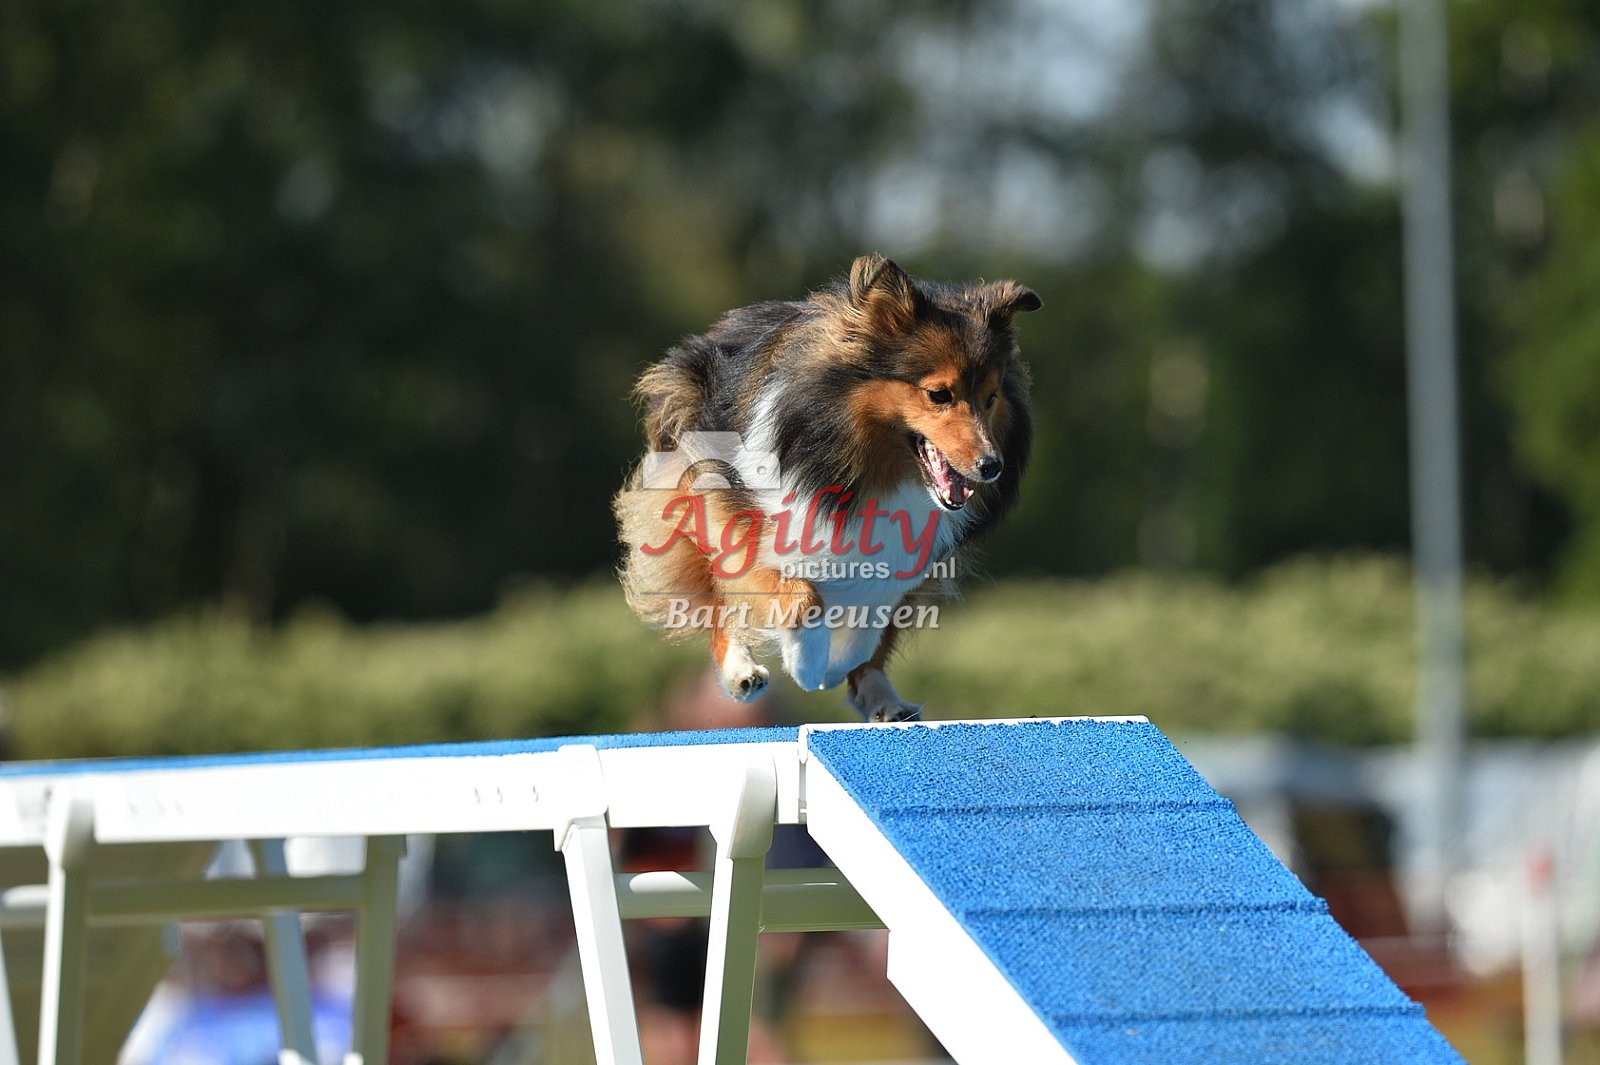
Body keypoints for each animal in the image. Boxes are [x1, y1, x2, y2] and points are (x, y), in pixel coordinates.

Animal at [614, 254, 1040, 721]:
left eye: (991, 397)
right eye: (939, 394)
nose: (991, 466)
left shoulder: (907, 556)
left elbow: (873, 619)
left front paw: (840, 662)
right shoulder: (742, 512)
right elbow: (798, 597)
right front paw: (806, 661)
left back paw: (883, 699)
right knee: (722, 604)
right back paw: (742, 671)